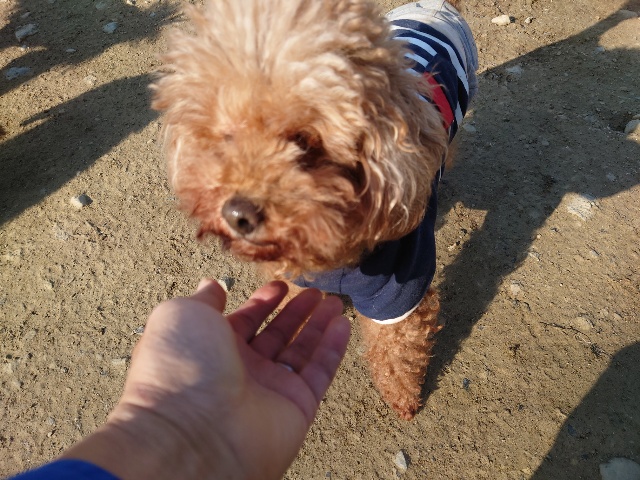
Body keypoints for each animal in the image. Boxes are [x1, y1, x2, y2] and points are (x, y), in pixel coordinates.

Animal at [152, 0, 478, 420]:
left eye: (304, 142)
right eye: (227, 135)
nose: (238, 214)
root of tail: (434, 5)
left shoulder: (399, 290)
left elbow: (398, 350)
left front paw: (403, 399)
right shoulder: (295, 279)